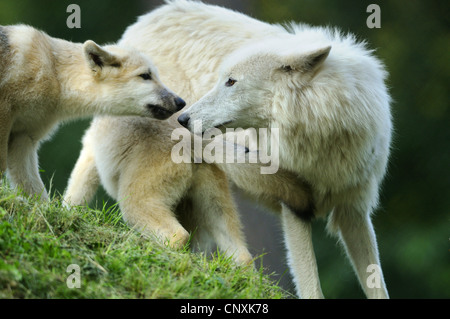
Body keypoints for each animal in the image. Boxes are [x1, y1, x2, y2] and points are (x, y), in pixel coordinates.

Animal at [0, 24, 185, 200]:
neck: (55, 74)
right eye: (145, 76)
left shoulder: (24, 138)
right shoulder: (6, 117)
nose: (181, 102)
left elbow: (34, 190)